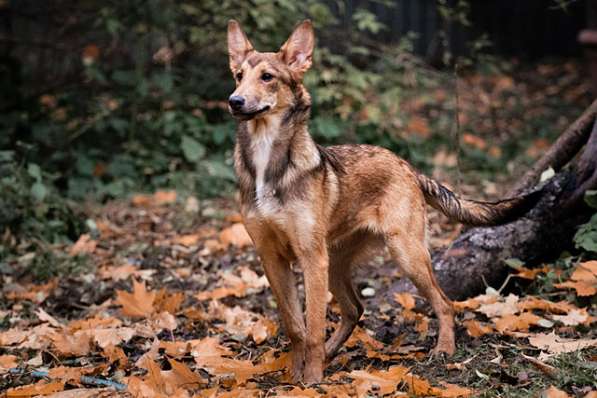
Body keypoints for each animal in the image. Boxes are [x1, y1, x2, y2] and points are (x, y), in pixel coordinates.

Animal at [227, 18, 536, 382]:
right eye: (238, 75)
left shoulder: (310, 258)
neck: (268, 162)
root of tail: (407, 166)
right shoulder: (272, 259)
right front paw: (293, 376)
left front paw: (312, 380)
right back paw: (332, 355)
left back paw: (444, 349)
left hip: (403, 253)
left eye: (267, 77)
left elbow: (313, 327)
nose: (234, 101)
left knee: (444, 303)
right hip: (336, 263)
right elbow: (295, 326)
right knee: (354, 309)